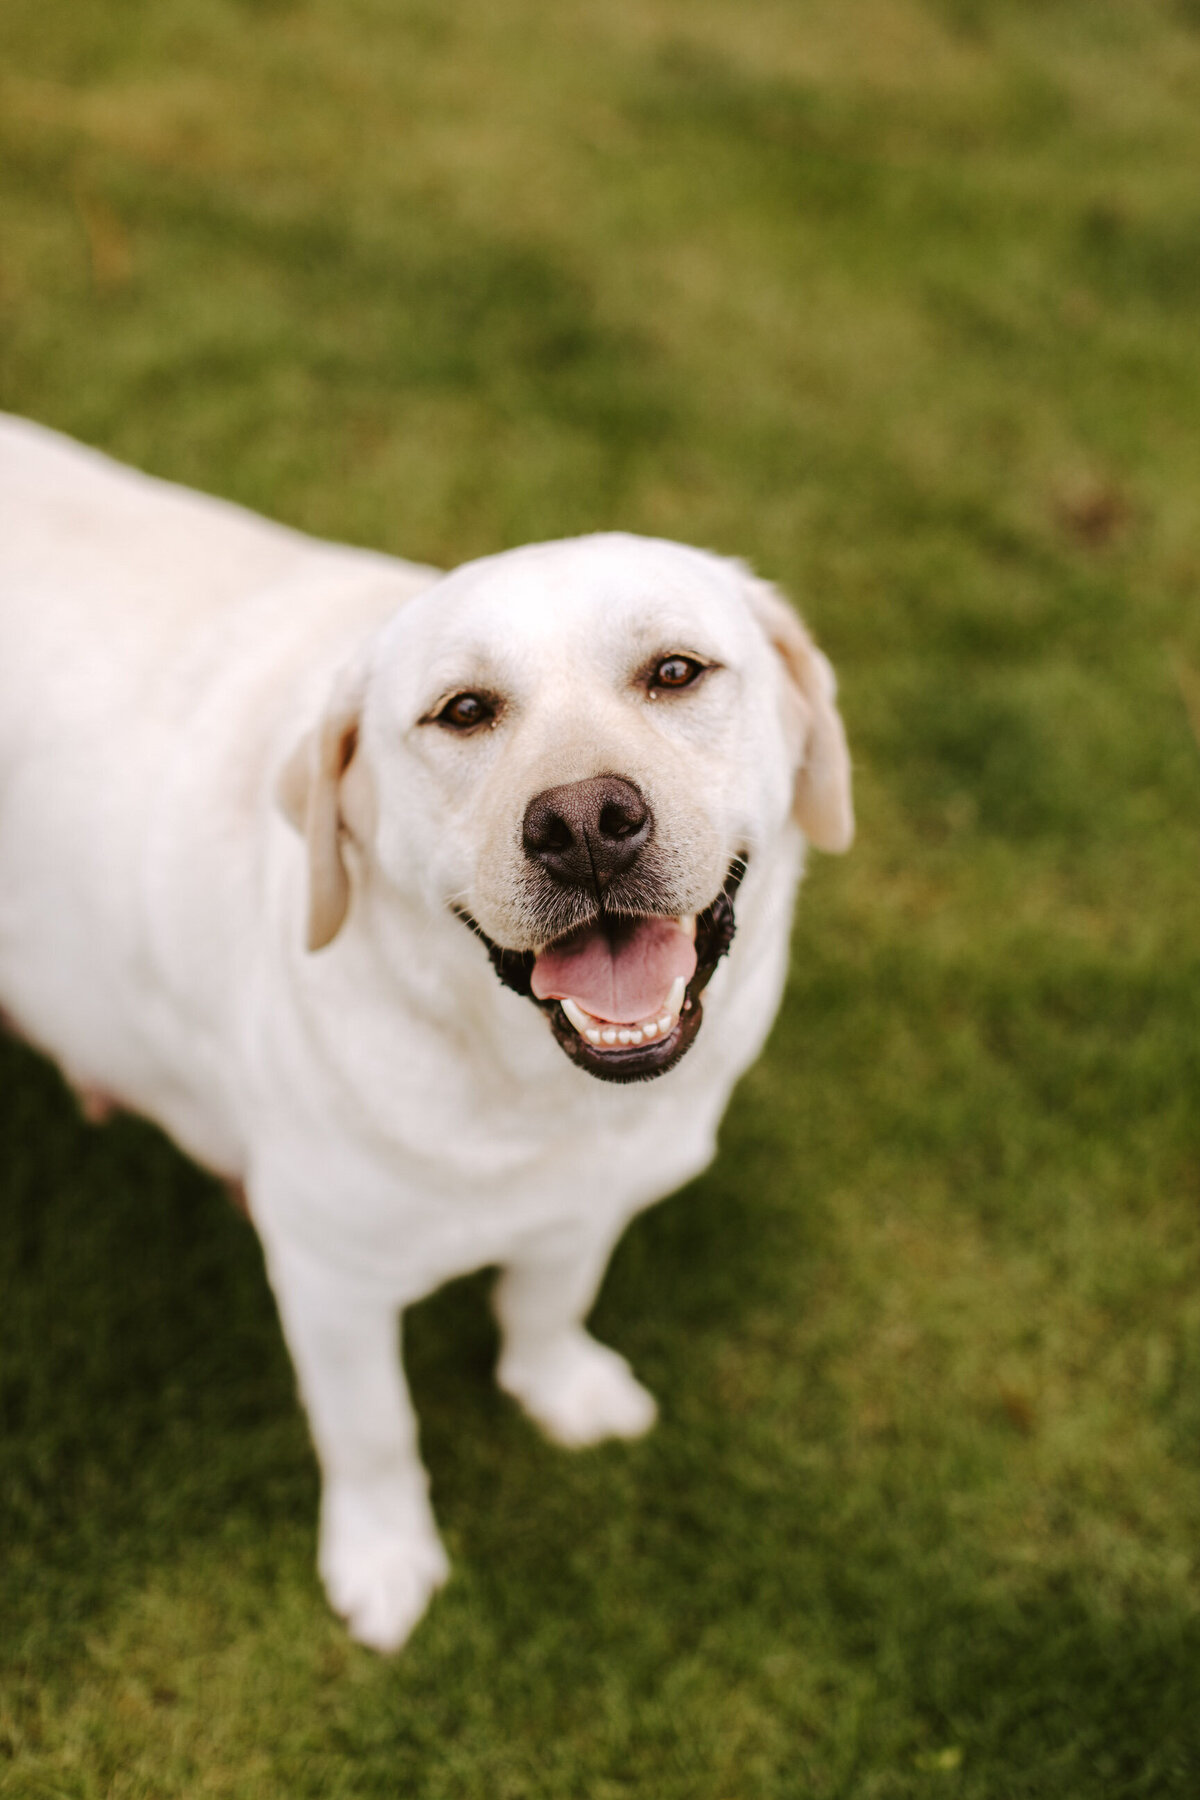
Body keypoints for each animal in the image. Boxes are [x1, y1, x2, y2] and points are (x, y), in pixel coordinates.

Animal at [0, 414, 852, 1648]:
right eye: (464, 711)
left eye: (676, 672)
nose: (584, 825)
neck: (531, 1089)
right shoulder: (330, 1282)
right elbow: (373, 1433)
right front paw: (384, 1559)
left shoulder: (591, 1196)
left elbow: (550, 1294)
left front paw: (557, 1384)